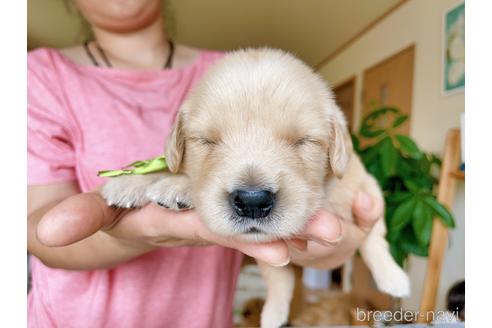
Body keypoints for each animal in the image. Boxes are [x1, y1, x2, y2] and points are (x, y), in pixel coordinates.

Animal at [102, 48, 410, 328]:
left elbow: (373, 239)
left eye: (303, 141)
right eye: (207, 141)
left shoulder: (367, 189)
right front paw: (131, 182)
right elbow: (169, 165)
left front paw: (393, 277)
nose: (252, 201)